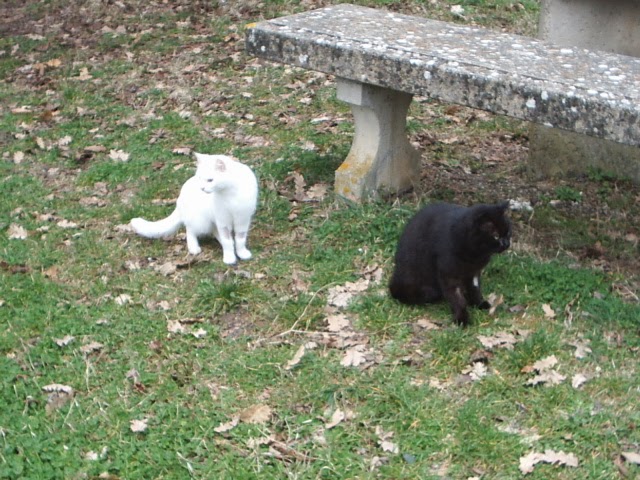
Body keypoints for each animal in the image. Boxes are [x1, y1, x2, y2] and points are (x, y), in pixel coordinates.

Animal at [130, 153, 258, 265]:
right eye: (200, 178)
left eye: (210, 180)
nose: (202, 188)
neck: (230, 193)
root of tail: (179, 200)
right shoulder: (223, 220)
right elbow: (227, 241)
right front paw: (229, 257)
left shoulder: (243, 219)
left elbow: (240, 239)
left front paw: (242, 253)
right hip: (201, 221)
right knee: (190, 230)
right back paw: (194, 248)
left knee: (214, 231)